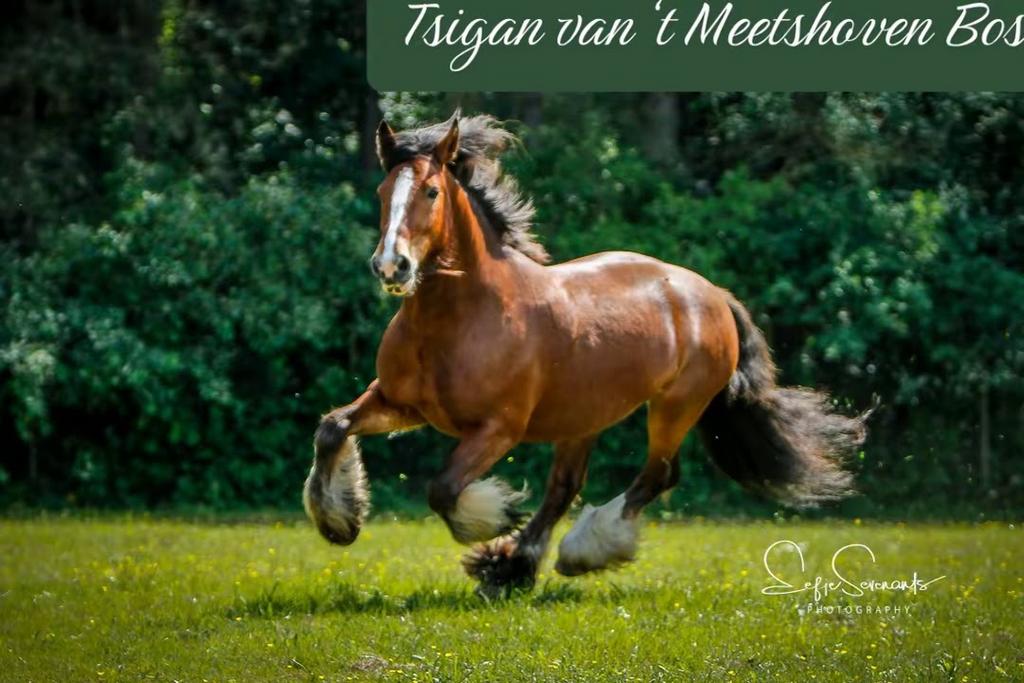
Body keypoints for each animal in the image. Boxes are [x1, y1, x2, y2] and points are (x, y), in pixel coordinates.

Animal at [303, 112, 868, 595]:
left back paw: (578, 552)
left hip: (675, 407)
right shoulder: (400, 403)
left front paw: (494, 517)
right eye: (382, 192)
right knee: (565, 487)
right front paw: (340, 522)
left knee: (657, 474)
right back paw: (512, 568)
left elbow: (441, 489)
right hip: (584, 417)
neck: (459, 319)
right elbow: (332, 427)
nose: (391, 266)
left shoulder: (497, 429)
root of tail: (710, 294)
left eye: (431, 190)